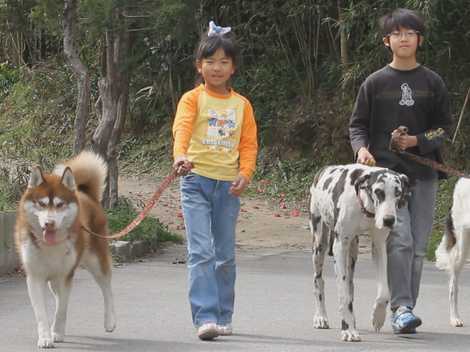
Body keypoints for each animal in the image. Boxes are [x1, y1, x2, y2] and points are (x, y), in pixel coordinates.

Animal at [15, 150, 116, 348]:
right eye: (41, 204)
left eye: (60, 204)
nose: (49, 223)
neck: (50, 247)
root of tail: (85, 194)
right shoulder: (35, 277)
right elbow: (41, 313)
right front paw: (45, 337)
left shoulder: (65, 276)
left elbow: (62, 308)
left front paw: (57, 332)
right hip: (53, 279)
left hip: (96, 262)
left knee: (107, 289)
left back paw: (110, 321)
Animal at [308, 164, 408, 340]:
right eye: (378, 191)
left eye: (398, 192)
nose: (389, 220)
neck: (365, 208)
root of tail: (323, 170)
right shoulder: (340, 246)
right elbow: (343, 294)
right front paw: (348, 329)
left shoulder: (379, 245)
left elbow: (384, 292)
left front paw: (378, 316)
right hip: (320, 243)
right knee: (318, 280)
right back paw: (321, 317)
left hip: (352, 252)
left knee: (350, 284)